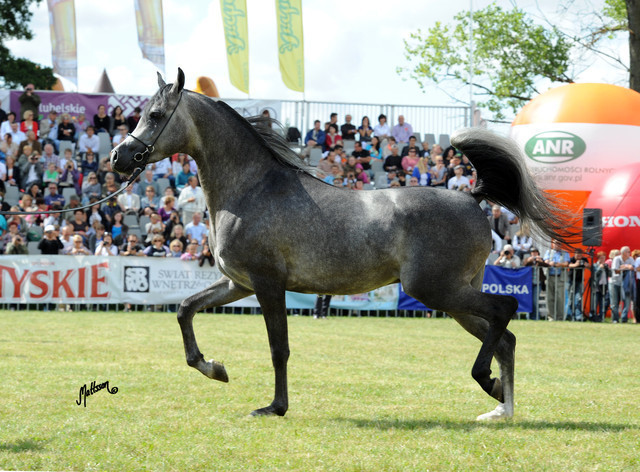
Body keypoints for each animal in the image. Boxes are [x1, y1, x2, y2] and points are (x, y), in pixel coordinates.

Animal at [111, 69, 572, 421]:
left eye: (155, 114)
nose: (119, 157)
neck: (251, 189)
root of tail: (471, 196)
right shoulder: (238, 284)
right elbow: (185, 309)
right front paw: (214, 368)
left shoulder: (267, 283)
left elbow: (278, 347)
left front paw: (273, 407)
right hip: (453, 295)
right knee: (505, 337)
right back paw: (500, 407)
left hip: (436, 290)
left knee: (505, 310)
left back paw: (488, 384)